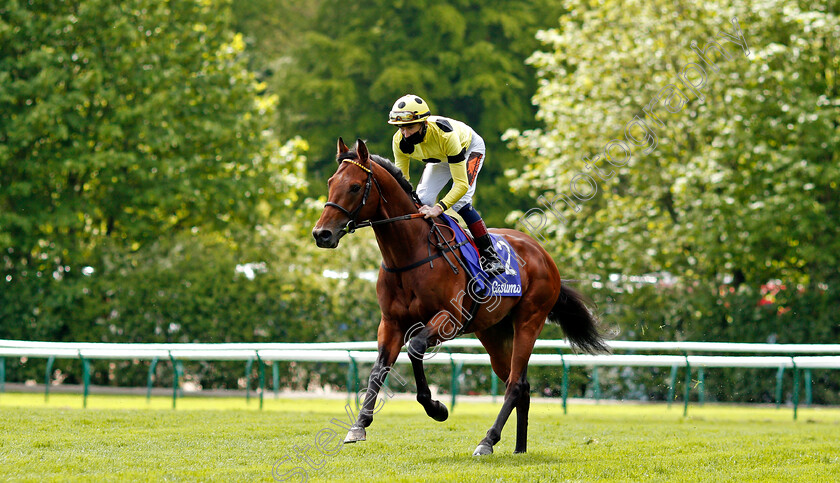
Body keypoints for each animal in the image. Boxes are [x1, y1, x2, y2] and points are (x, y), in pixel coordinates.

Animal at [312, 138, 608, 456]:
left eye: (355, 186)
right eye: (330, 183)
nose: (322, 234)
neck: (410, 254)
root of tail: (543, 255)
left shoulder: (449, 319)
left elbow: (415, 348)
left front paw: (437, 408)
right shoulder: (391, 323)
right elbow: (379, 369)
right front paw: (359, 426)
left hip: (529, 321)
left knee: (515, 384)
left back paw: (487, 441)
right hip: (493, 332)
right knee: (521, 384)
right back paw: (519, 447)